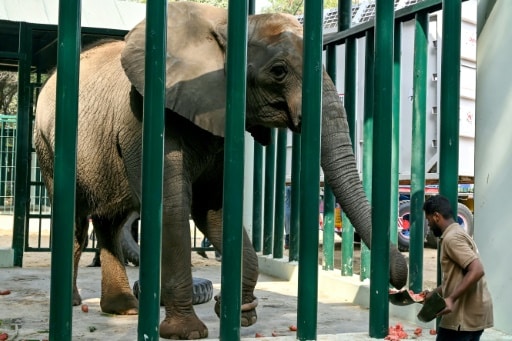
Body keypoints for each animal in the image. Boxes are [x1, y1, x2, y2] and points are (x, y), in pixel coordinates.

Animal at [33, 1, 408, 338]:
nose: (401, 294)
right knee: (76, 223)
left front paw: (240, 315)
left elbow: (212, 208)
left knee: (110, 223)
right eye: (279, 71)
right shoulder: (141, 119)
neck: (221, 29)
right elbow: (173, 208)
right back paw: (74, 303)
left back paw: (125, 309)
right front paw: (187, 332)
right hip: (48, 145)